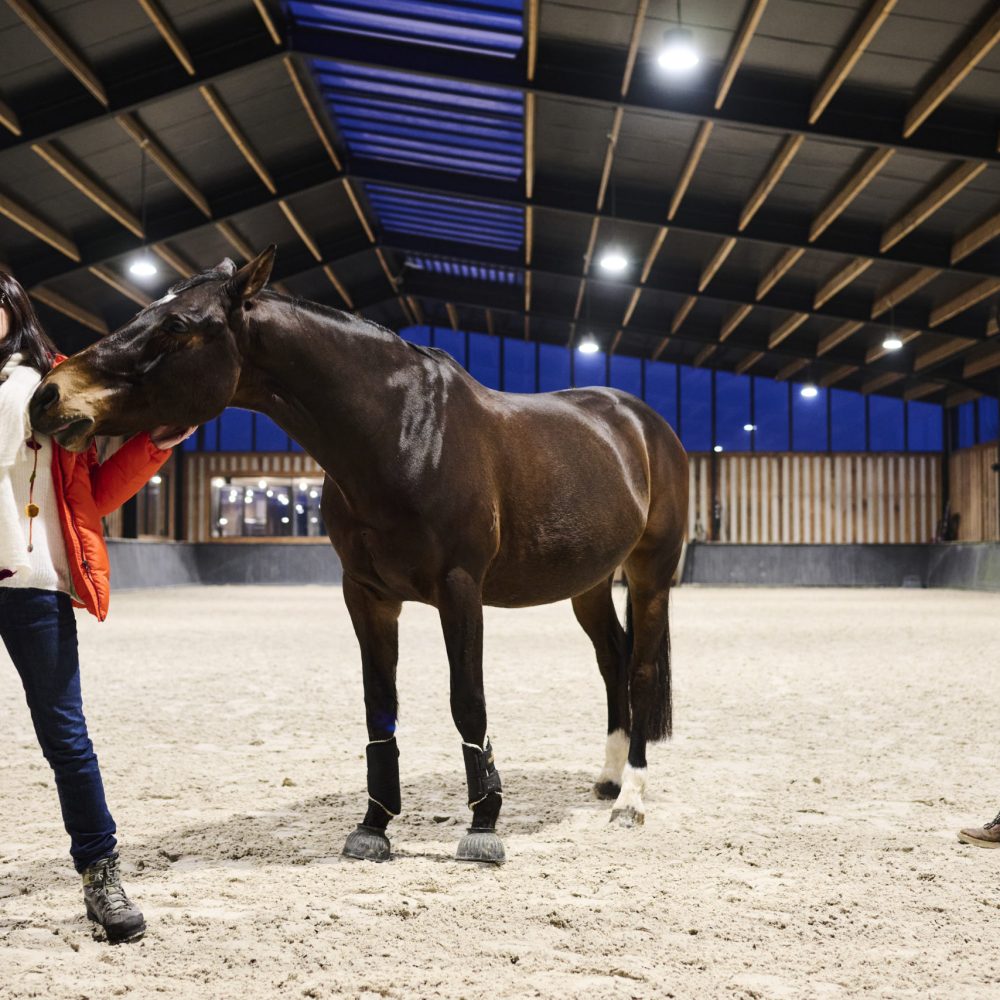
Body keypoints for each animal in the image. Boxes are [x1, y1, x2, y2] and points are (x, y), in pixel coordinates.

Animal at [29, 246, 688, 864]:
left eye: (176, 325)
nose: (48, 396)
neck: (402, 433)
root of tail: (643, 422)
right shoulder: (366, 595)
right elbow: (380, 707)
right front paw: (374, 825)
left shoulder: (460, 590)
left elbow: (467, 701)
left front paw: (483, 824)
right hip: (589, 584)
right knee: (611, 660)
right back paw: (608, 779)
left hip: (649, 576)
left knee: (639, 669)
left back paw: (630, 800)